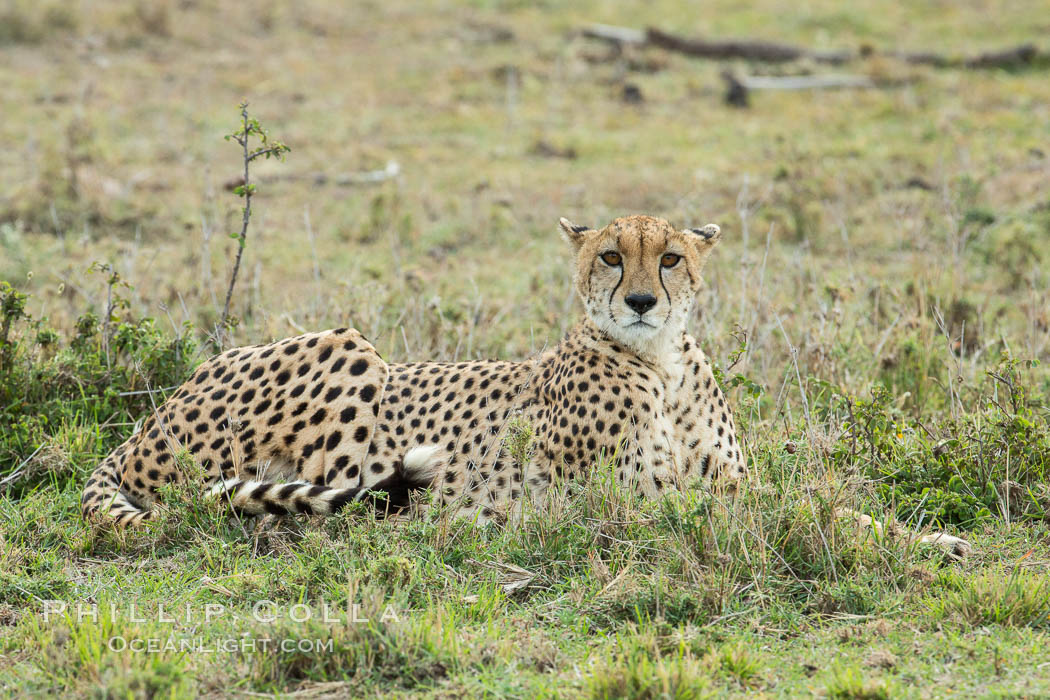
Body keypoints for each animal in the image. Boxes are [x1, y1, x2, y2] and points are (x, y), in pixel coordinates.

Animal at [77, 214, 970, 558]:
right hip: (348, 346)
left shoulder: (719, 482)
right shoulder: (636, 504)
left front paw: (931, 538)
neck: (663, 363)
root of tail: (144, 423)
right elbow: (787, 515)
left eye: (669, 258)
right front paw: (917, 542)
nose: (640, 301)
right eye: (610, 256)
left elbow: (820, 506)